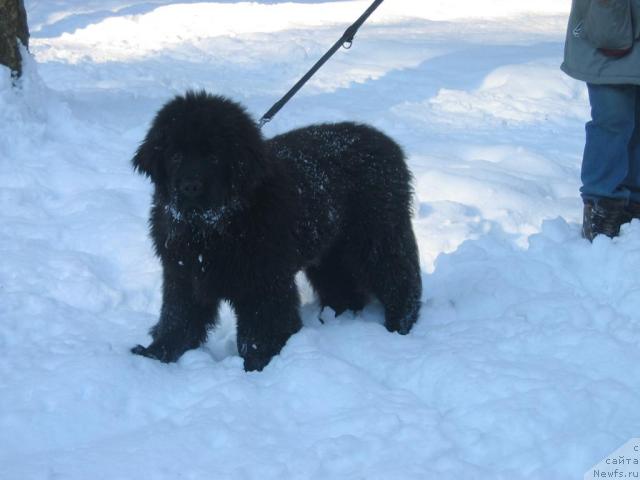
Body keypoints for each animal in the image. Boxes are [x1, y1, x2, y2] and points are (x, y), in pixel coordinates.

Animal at [131, 91, 420, 372]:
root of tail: (389, 144)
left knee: (400, 277)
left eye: (214, 157)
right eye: (175, 156)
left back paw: (399, 325)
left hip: (377, 235)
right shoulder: (184, 275)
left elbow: (262, 330)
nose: (190, 186)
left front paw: (258, 366)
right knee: (344, 286)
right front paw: (157, 354)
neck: (211, 227)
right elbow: (177, 317)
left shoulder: (263, 282)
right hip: (330, 251)